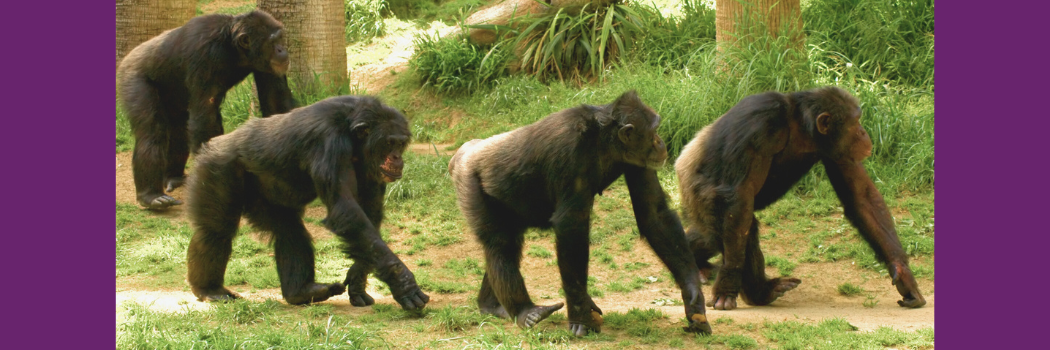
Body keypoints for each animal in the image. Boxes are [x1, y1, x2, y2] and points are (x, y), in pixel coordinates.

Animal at [119, 9, 300, 208]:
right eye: (272, 42)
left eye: (280, 38)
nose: (282, 49)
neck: (232, 48)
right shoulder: (205, 54)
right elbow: (206, 116)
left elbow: (275, 99)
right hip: (133, 77)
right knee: (152, 131)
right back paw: (151, 195)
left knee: (179, 129)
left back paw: (173, 177)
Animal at [187, 94, 430, 309]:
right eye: (389, 143)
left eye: (401, 144)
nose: (397, 158)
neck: (352, 134)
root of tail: (212, 144)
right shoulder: (330, 143)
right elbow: (346, 211)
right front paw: (403, 282)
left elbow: (368, 217)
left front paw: (357, 279)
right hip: (217, 168)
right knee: (216, 231)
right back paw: (210, 289)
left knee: (289, 230)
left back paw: (301, 292)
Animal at [449, 90, 713, 336]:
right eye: (653, 130)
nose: (660, 141)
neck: (605, 142)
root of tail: (464, 150)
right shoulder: (570, 153)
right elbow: (571, 225)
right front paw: (580, 316)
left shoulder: (638, 161)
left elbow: (654, 213)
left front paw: (693, 295)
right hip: (470, 182)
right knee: (500, 245)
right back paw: (526, 311)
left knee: (509, 245)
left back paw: (492, 306)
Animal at [672, 85, 928, 309]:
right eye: (855, 122)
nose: (864, 131)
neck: (803, 130)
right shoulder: (761, 119)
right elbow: (738, 194)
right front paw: (727, 285)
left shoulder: (840, 150)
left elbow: (861, 196)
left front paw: (904, 276)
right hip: (699, 191)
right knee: (739, 224)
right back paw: (759, 292)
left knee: (710, 235)